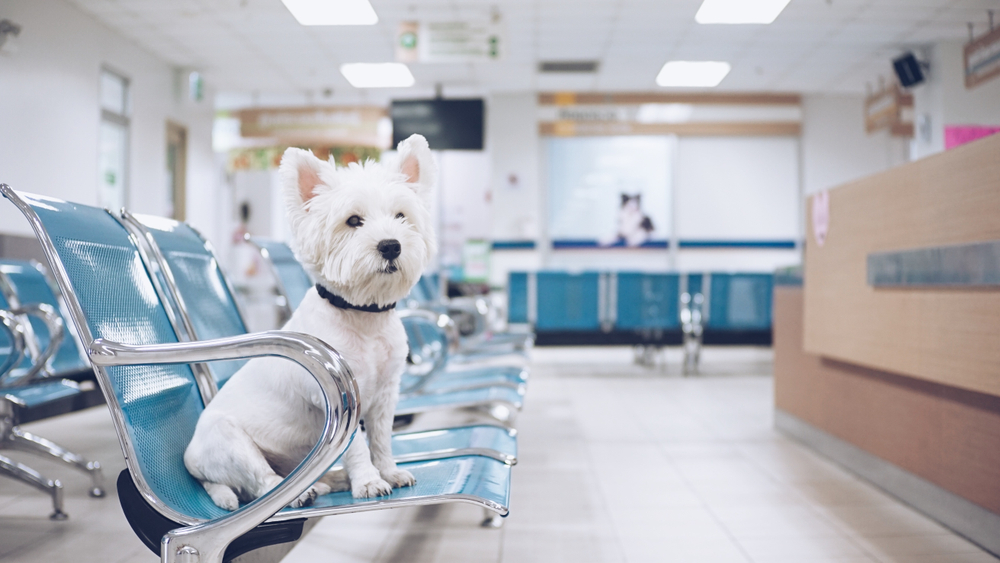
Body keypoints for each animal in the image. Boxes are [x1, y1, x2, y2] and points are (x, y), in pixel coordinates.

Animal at [186, 134, 436, 508]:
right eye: (353, 221)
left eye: (401, 216)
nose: (391, 246)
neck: (363, 316)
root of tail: (191, 462)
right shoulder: (343, 400)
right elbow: (356, 447)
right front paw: (368, 482)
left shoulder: (386, 395)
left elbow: (381, 439)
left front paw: (389, 472)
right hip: (230, 440)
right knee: (261, 483)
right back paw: (301, 493)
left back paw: (327, 481)